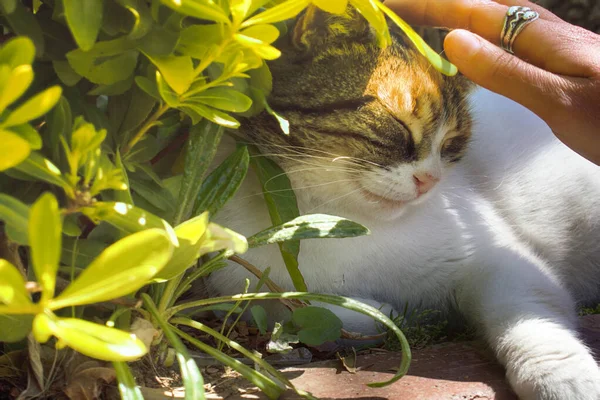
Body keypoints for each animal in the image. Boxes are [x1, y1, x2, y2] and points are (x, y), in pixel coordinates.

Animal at [205, 6, 600, 400]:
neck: (336, 222)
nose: (430, 180)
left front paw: (563, 377)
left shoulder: (500, 261)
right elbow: (276, 303)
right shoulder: (235, 276)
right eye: (398, 126)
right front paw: (377, 313)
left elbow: (526, 315)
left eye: (452, 142)